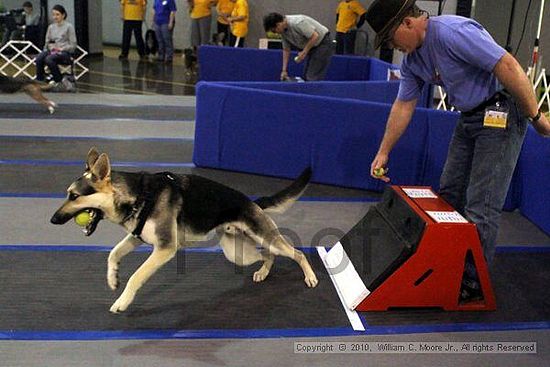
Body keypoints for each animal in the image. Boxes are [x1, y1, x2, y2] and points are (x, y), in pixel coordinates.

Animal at [51, 147, 320, 314]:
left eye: (74, 196)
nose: (53, 220)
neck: (138, 195)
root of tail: (251, 201)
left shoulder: (165, 248)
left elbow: (136, 276)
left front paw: (122, 302)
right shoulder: (139, 237)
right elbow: (113, 253)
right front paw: (112, 278)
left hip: (261, 237)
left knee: (296, 253)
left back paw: (310, 276)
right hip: (237, 252)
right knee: (267, 254)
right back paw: (263, 272)